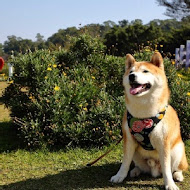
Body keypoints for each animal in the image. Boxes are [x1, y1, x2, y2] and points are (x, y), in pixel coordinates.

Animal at [110, 52, 188, 190]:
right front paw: (119, 176)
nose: (131, 76)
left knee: (176, 168)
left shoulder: (163, 143)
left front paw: (169, 184)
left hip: (178, 150)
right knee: (138, 165)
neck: (143, 114)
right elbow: (125, 162)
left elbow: (167, 168)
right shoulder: (128, 140)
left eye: (145, 71)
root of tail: (154, 168)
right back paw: (135, 170)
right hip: (136, 153)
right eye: (131, 71)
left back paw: (178, 175)